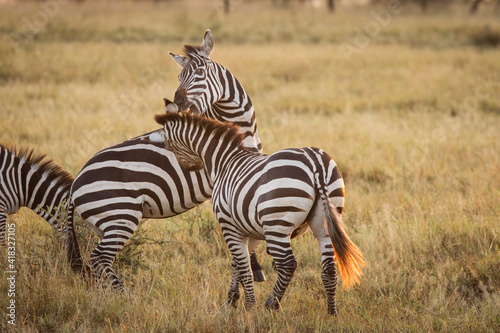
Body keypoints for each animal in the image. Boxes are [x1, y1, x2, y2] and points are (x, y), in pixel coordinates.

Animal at [66, 31, 266, 290]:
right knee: (99, 258)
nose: (178, 103)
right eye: (179, 77)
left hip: (103, 224)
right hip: (120, 215)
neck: (239, 124)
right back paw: (123, 295)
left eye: (200, 73)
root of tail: (75, 184)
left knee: (99, 262)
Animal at [150, 112, 366, 316]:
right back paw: (332, 312)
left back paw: (271, 305)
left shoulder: (229, 225)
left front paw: (249, 306)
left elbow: (244, 266)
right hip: (325, 222)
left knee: (288, 264)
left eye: (167, 144)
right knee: (329, 268)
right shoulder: (250, 229)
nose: (189, 169)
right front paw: (232, 299)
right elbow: (238, 262)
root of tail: (315, 163)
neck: (223, 161)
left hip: (277, 223)